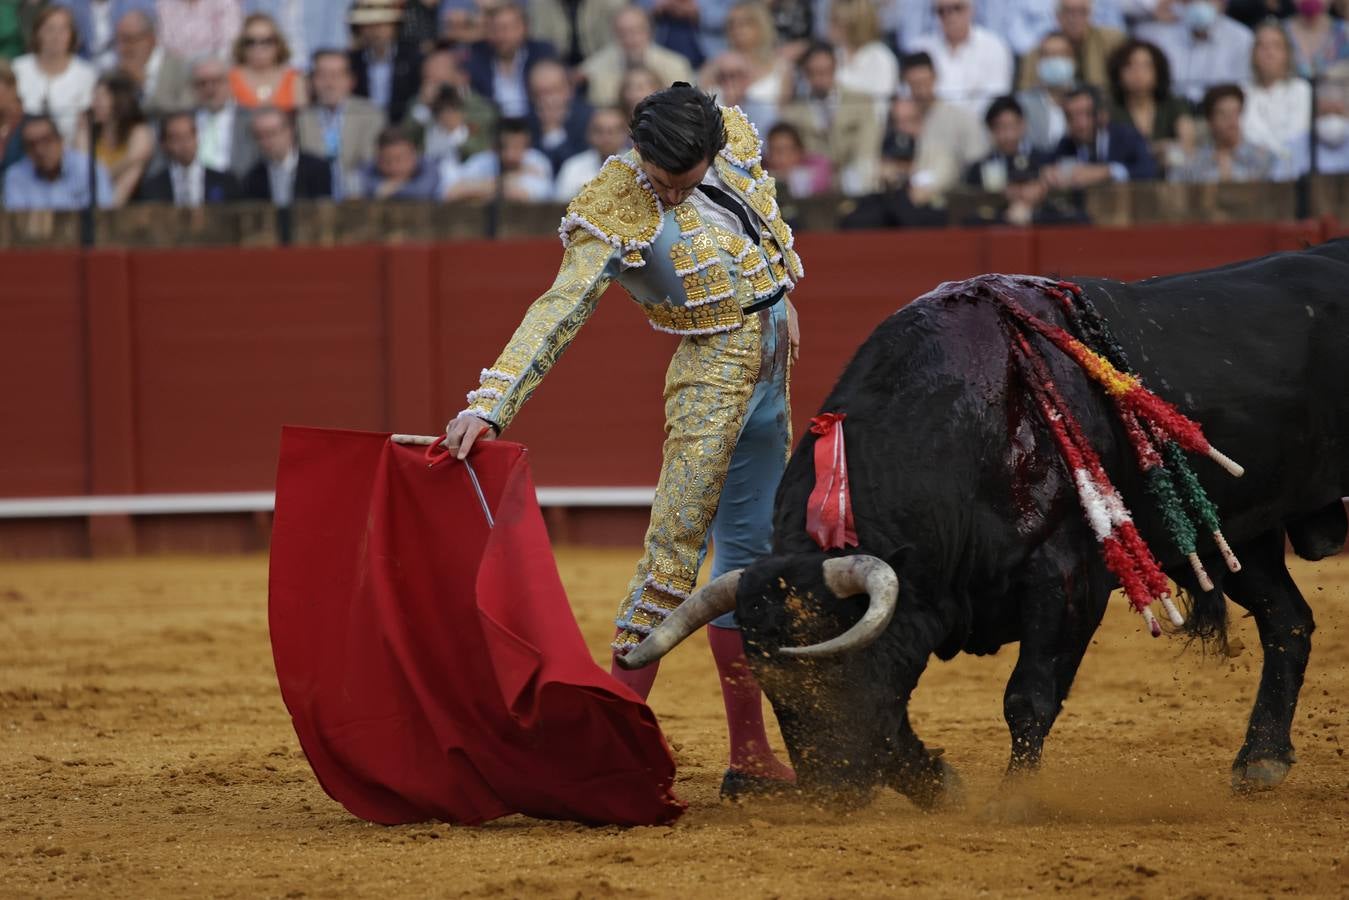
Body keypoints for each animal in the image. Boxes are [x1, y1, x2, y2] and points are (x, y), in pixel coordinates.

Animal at [617, 242, 1343, 814]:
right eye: (767, 683)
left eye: (838, 665)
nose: (830, 790)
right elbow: (891, 716)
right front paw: (941, 784)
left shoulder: (1068, 580)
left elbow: (1027, 696)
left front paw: (1012, 799)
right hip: (1241, 538)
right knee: (1288, 621)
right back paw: (1259, 761)